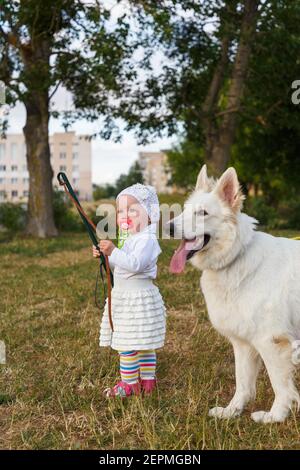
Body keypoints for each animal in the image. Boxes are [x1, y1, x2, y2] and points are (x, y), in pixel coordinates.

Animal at [169, 167, 300, 424]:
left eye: (203, 213)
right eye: (186, 210)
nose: (168, 227)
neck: (237, 255)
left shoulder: (271, 342)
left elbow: (280, 386)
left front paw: (275, 416)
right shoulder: (243, 344)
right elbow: (243, 384)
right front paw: (232, 411)